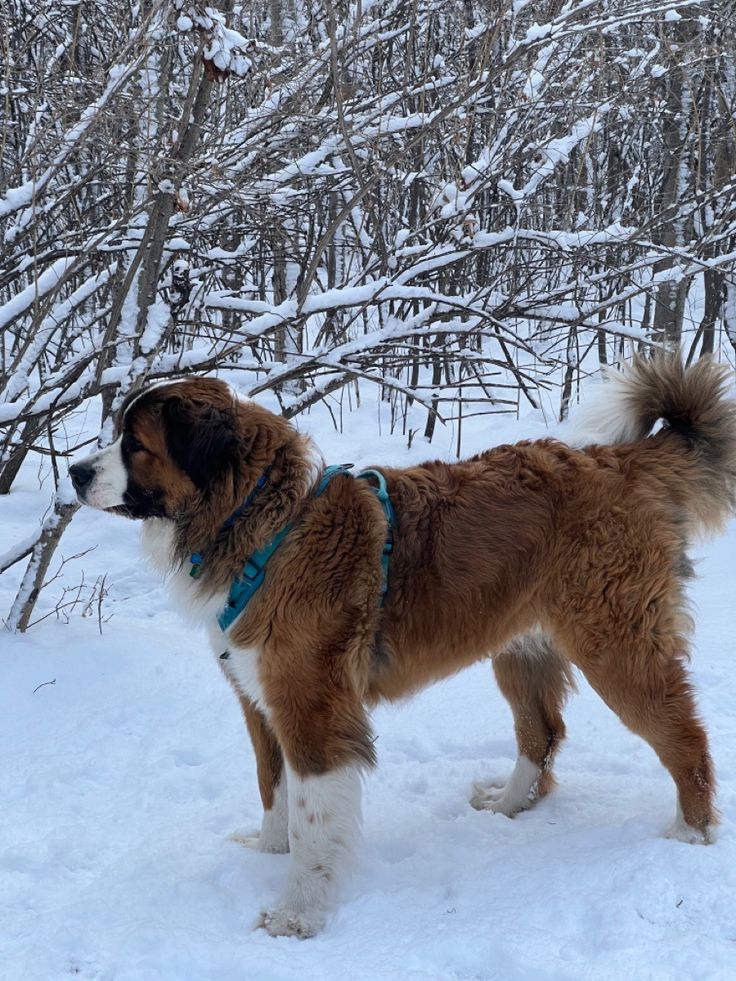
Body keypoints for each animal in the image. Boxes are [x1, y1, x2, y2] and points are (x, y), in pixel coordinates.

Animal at [70, 356, 736, 936]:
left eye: (135, 445)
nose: (75, 473)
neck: (266, 524)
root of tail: (617, 459)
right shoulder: (260, 699)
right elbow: (272, 787)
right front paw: (266, 849)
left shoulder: (311, 710)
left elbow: (312, 818)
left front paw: (297, 915)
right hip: (519, 650)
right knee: (542, 735)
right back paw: (508, 805)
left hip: (616, 649)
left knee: (685, 739)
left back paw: (690, 834)